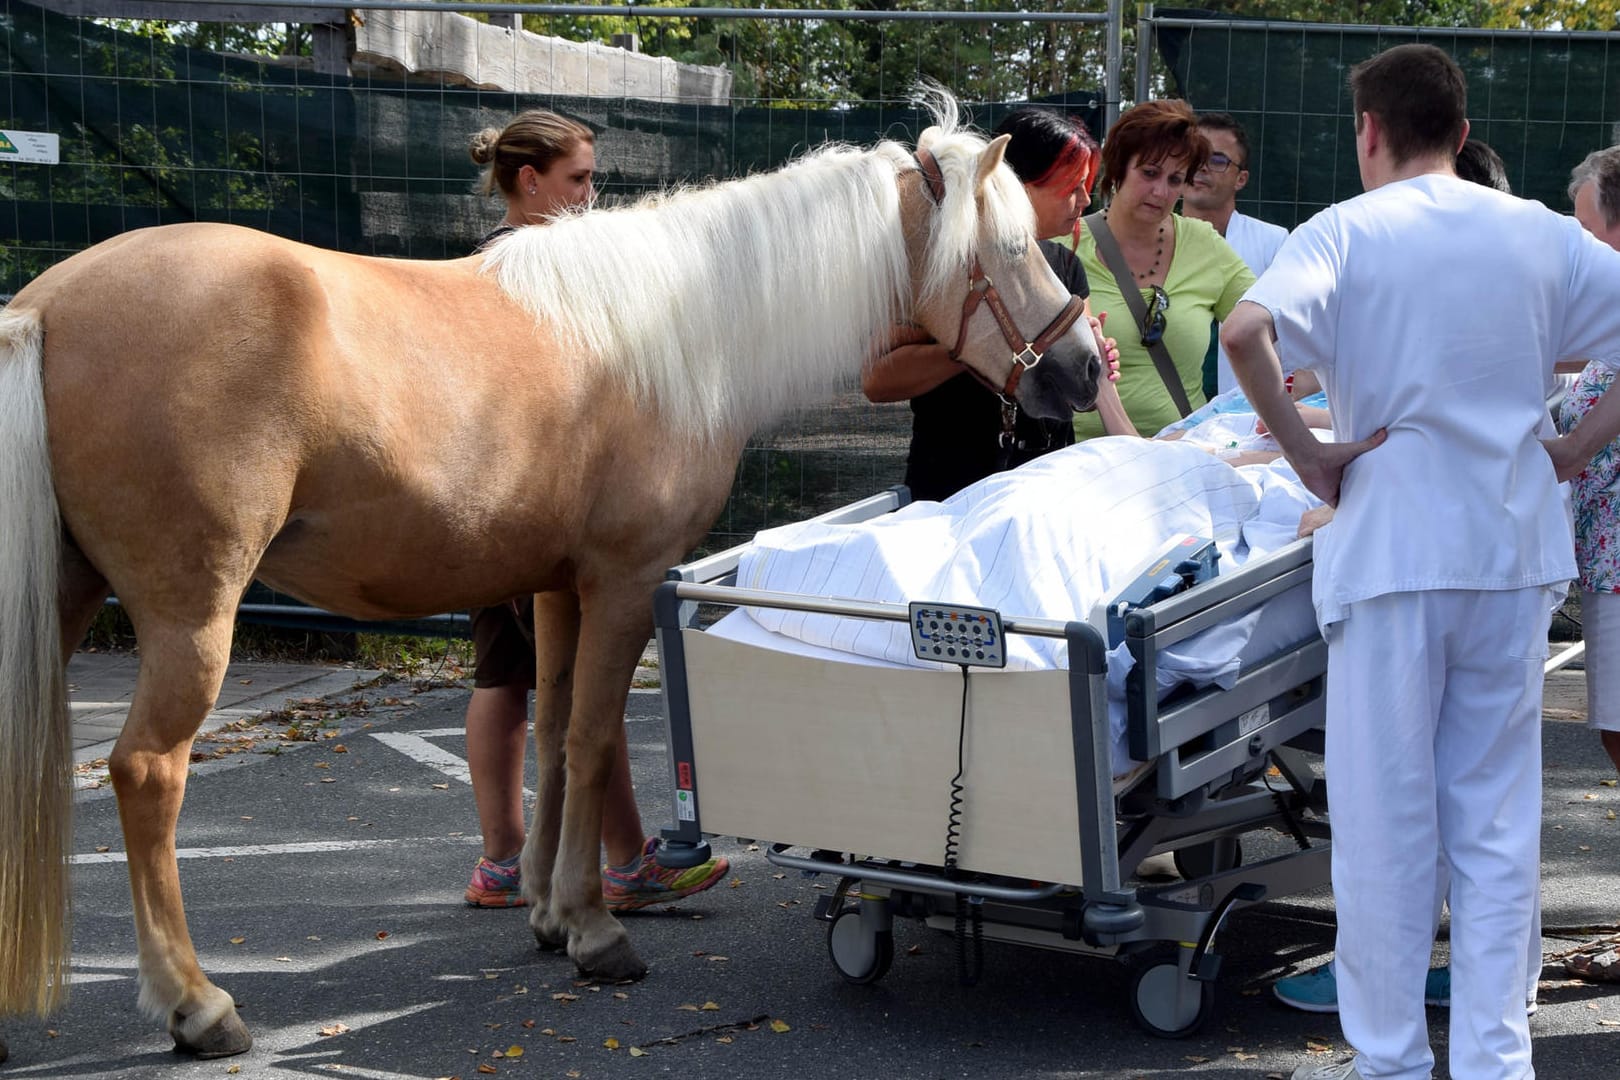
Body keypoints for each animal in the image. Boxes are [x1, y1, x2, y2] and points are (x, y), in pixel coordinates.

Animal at [0, 97, 1101, 1062]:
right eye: (1012, 251)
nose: (1084, 370)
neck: (675, 331)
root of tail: (43, 306)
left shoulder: (556, 588)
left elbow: (555, 731)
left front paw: (544, 911)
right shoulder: (622, 583)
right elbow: (592, 736)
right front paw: (593, 927)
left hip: (70, 599)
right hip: (194, 618)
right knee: (148, 773)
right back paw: (197, 1007)